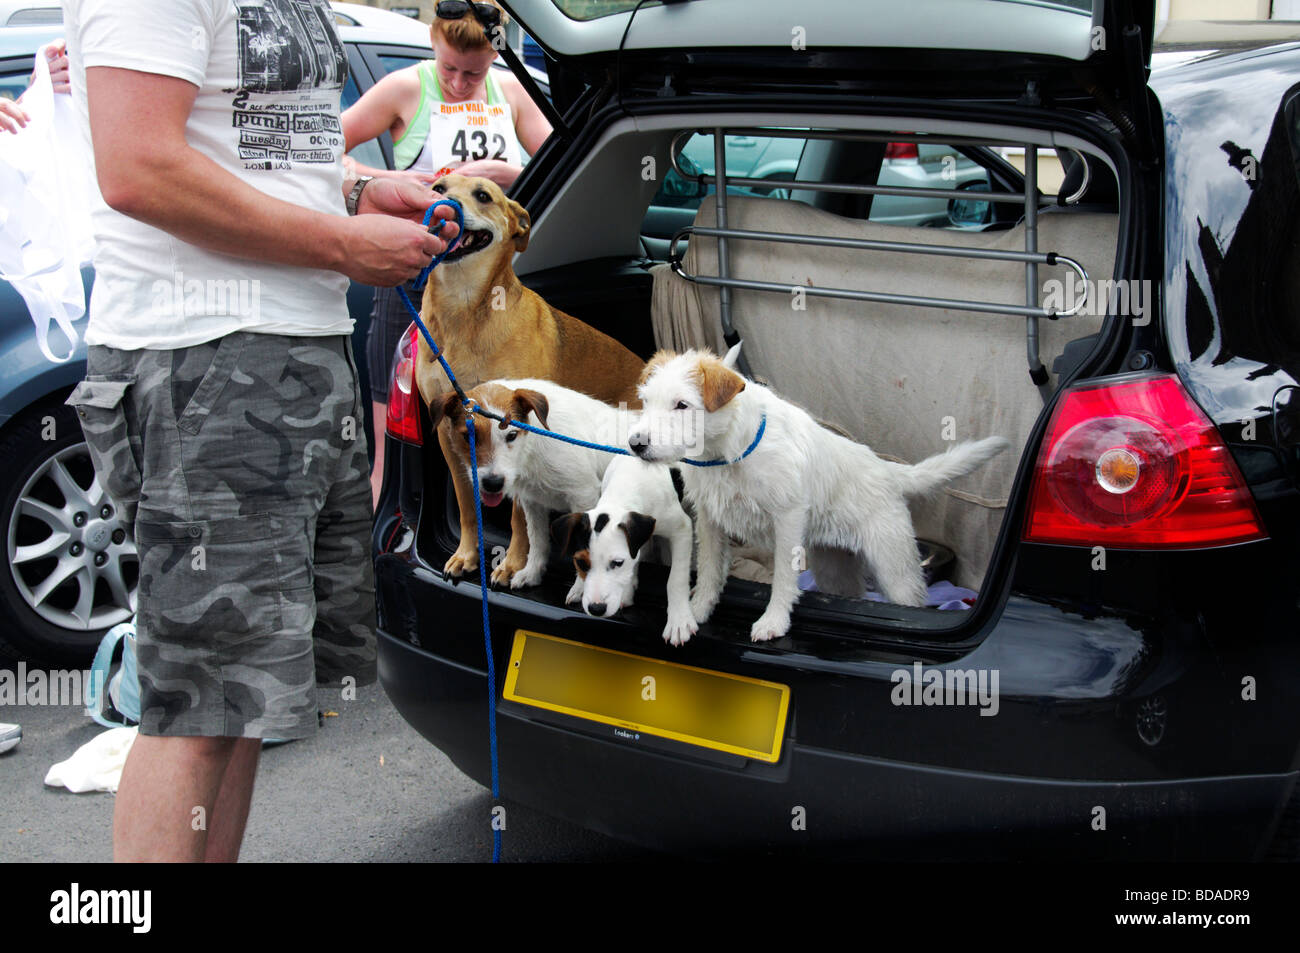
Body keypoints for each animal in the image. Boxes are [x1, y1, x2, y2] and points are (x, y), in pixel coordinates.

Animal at [431, 379, 624, 587]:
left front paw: (582, 589)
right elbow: (537, 540)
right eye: (468, 436)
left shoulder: (584, 496)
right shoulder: (532, 501)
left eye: (511, 435)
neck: (530, 445)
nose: (493, 483)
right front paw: (531, 573)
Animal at [553, 455, 702, 647]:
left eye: (618, 563)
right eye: (580, 562)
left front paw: (679, 621)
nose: (596, 609)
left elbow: (676, 579)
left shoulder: (681, 529)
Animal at [624, 345, 1008, 642]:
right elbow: (707, 571)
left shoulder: (787, 518)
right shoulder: (710, 520)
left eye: (682, 405)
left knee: (910, 602)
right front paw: (695, 611)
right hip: (835, 572)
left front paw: (774, 622)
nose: (635, 444)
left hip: (895, 571)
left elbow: (783, 577)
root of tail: (888, 472)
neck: (727, 451)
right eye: (646, 401)